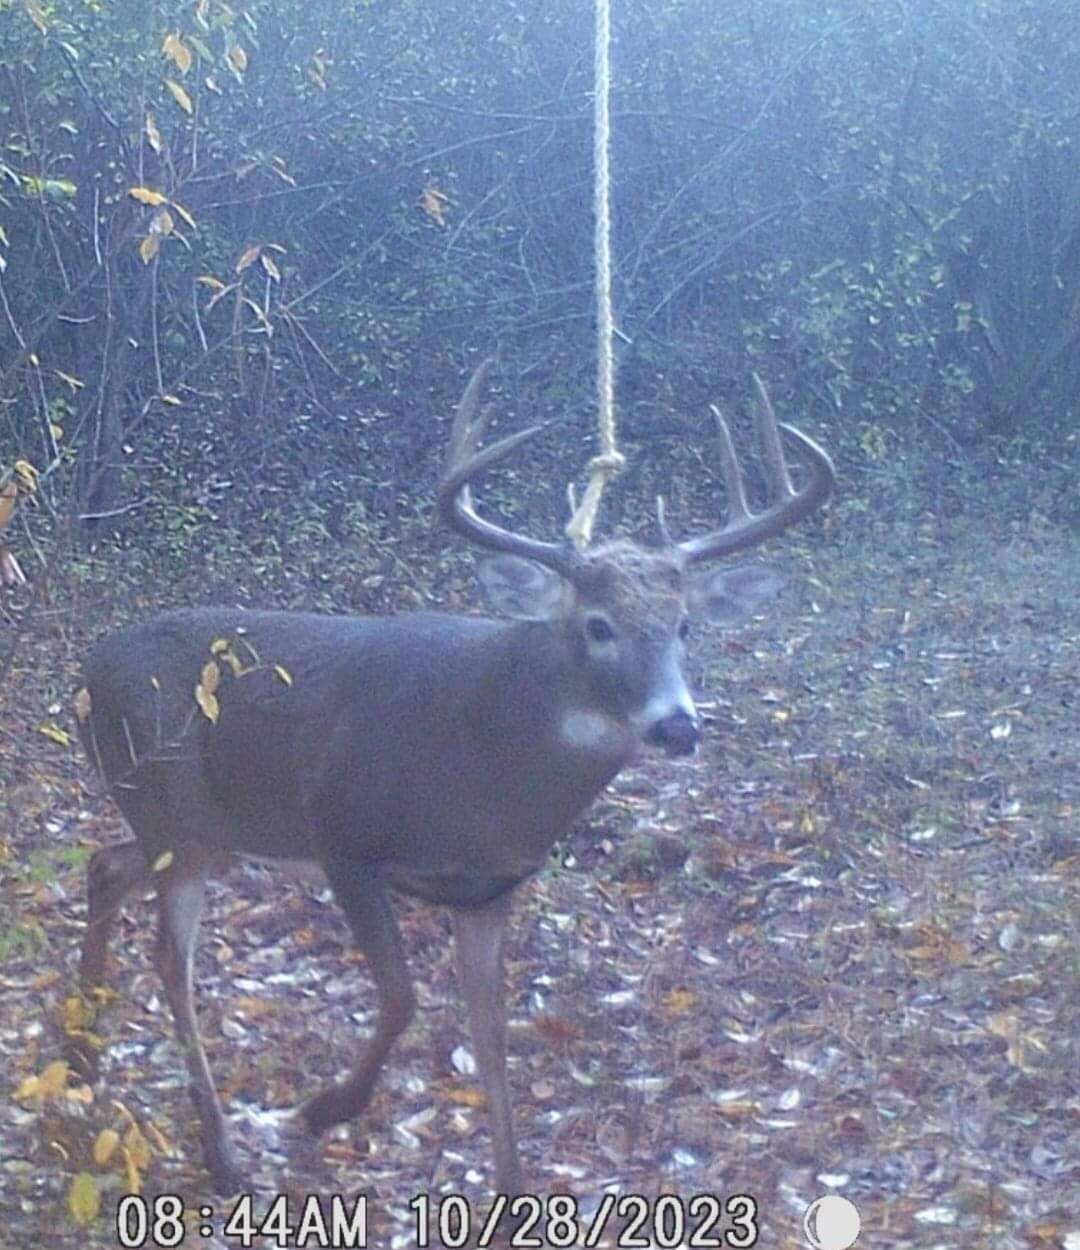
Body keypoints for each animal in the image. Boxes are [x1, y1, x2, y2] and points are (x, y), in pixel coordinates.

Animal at [71, 358, 833, 1199]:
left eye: (685, 626)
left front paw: (512, 1189)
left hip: (200, 829)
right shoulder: (342, 832)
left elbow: (492, 1034)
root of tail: (87, 676)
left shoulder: (488, 890)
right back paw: (220, 1151)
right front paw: (323, 1110)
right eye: (597, 624)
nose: (677, 725)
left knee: (103, 866)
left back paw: (84, 1058)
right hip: (172, 808)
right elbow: (404, 998)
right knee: (170, 958)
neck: (485, 773)